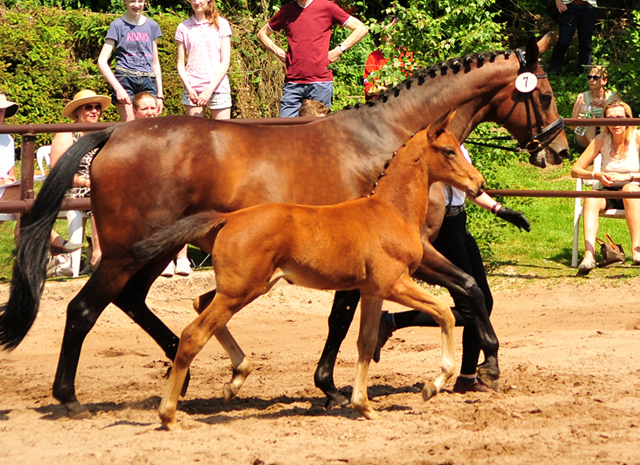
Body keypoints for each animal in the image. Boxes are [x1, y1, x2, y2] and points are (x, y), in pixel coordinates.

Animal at [134, 113, 484, 428]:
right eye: (449, 150)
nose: (478, 184)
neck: (391, 212)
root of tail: (228, 218)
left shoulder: (372, 291)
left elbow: (366, 341)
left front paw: (364, 406)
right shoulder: (395, 283)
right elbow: (444, 312)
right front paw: (433, 384)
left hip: (245, 286)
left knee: (201, 304)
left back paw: (235, 380)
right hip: (241, 289)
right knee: (193, 334)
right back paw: (169, 415)